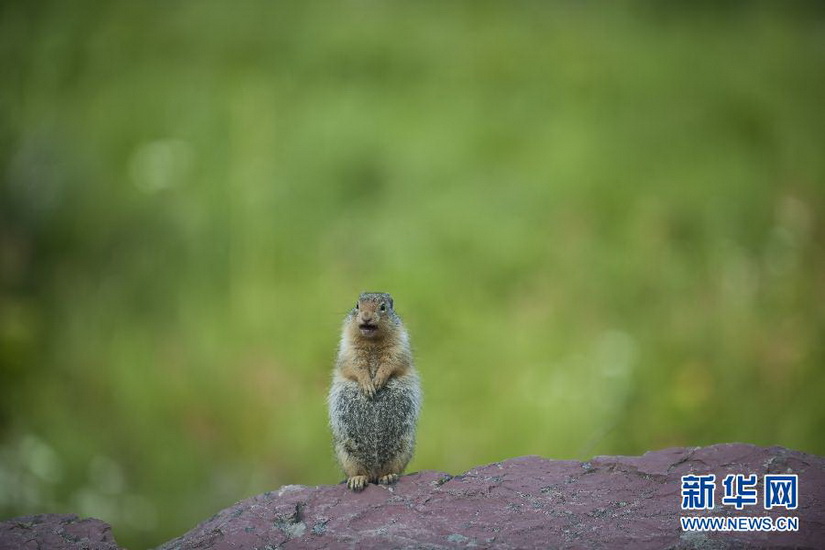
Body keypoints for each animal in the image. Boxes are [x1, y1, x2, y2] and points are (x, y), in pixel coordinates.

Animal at [326, 292, 422, 494]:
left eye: (383, 307)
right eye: (357, 305)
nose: (366, 316)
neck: (372, 342)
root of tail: (374, 473)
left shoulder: (399, 345)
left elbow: (392, 362)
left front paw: (378, 380)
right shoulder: (348, 348)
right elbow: (355, 365)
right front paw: (368, 385)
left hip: (403, 448)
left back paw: (388, 476)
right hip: (345, 451)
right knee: (358, 472)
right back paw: (357, 480)